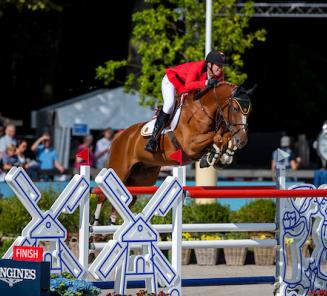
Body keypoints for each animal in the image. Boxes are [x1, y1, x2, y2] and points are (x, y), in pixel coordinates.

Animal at [92, 81, 254, 224]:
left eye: (249, 111)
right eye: (235, 108)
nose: (243, 140)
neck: (204, 110)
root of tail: (118, 137)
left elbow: (224, 136)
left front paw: (223, 156)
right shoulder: (190, 144)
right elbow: (217, 137)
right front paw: (212, 156)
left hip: (142, 177)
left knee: (126, 199)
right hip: (119, 170)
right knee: (103, 196)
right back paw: (95, 228)